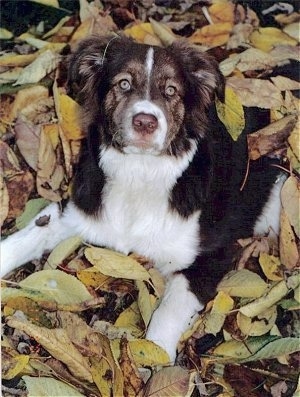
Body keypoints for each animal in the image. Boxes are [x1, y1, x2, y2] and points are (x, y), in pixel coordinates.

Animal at [0, 37, 284, 362]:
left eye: (171, 91)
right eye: (124, 84)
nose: (145, 122)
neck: (140, 173)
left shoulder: (214, 253)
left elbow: (170, 307)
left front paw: (156, 356)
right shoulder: (77, 209)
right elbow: (28, 235)